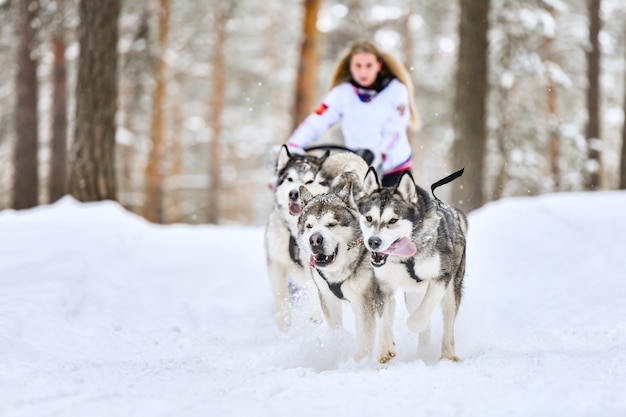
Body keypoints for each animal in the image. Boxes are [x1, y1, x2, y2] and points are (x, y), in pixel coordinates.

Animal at [294, 180, 392, 362]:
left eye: (331, 224)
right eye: (309, 226)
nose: (315, 239)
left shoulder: (364, 301)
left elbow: (364, 338)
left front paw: (359, 363)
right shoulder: (328, 299)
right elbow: (336, 331)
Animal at [356, 167, 464, 360]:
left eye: (393, 220)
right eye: (368, 218)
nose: (373, 242)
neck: (405, 258)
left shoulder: (442, 276)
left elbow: (421, 315)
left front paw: (412, 324)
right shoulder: (382, 285)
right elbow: (383, 319)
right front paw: (386, 348)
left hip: (452, 290)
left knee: (448, 325)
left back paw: (448, 355)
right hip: (413, 294)